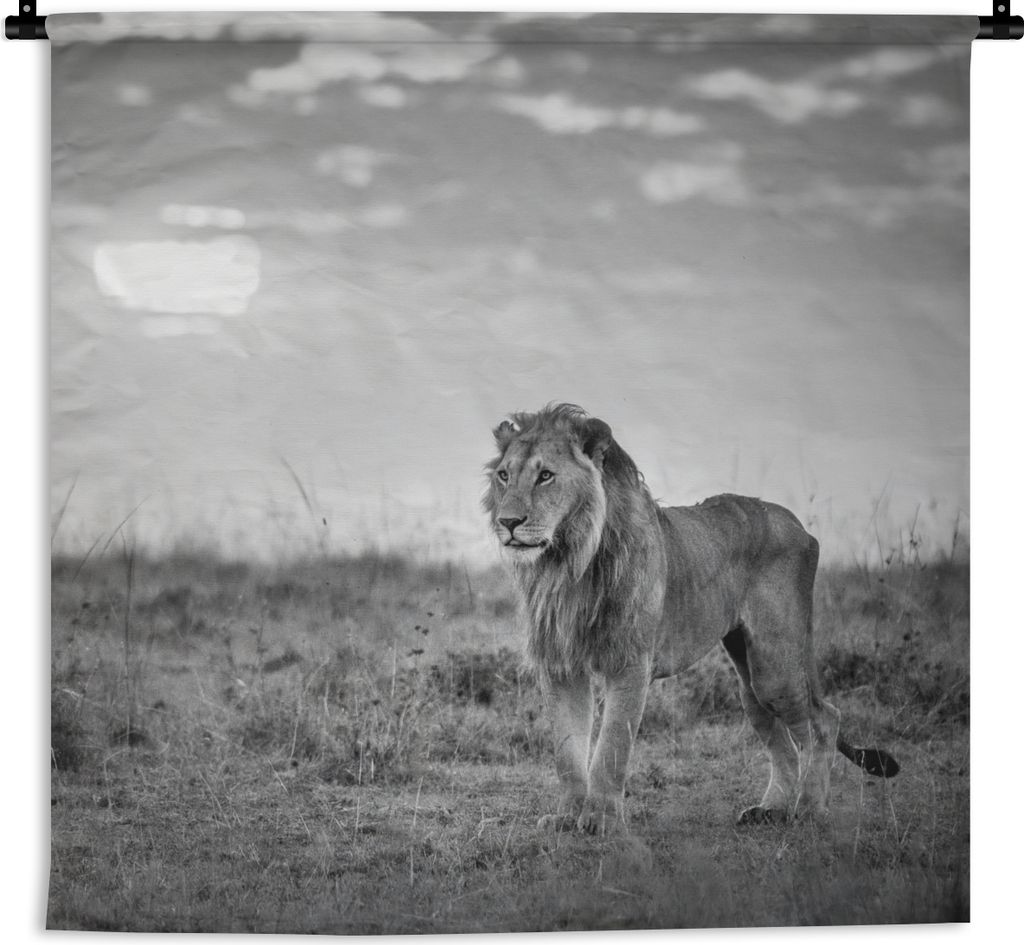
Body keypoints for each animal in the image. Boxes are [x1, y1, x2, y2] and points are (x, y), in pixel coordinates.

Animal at [483, 403, 898, 835]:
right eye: (504, 475)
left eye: (546, 475)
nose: (507, 522)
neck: (568, 562)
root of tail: (799, 526)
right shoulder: (561, 666)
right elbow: (567, 751)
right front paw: (567, 818)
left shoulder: (631, 663)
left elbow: (611, 747)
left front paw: (600, 820)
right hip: (749, 680)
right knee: (782, 743)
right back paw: (770, 810)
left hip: (776, 667)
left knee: (825, 720)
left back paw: (810, 811)